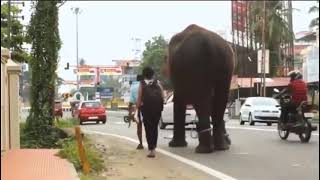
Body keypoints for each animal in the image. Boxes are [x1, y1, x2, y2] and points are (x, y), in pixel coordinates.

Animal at [165, 23, 235, 153]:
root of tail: (210, 45)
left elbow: (179, 98)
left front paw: (174, 145)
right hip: (226, 66)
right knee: (219, 98)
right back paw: (220, 147)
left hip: (197, 65)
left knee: (201, 99)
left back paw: (204, 149)